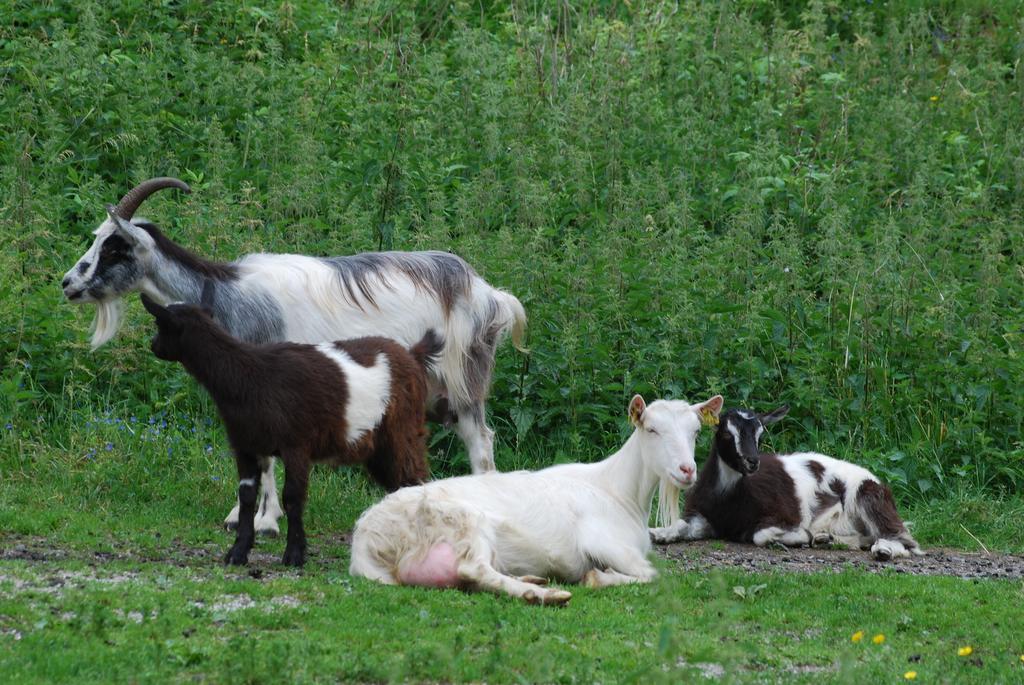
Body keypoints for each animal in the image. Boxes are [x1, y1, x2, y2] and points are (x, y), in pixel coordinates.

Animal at [61, 179, 528, 536]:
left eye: (115, 248)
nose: (67, 283)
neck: (228, 298)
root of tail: (489, 294)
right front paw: (239, 516)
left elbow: (269, 459)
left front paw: (266, 522)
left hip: (462, 380)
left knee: (480, 441)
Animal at [140, 282, 440, 565]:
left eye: (159, 324)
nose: (152, 345)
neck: (248, 376)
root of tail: (412, 355)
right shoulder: (245, 444)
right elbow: (246, 497)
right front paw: (238, 553)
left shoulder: (296, 443)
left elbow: (293, 497)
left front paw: (294, 555)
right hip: (378, 445)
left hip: (403, 429)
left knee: (415, 478)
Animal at [348, 393, 724, 602]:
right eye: (652, 429)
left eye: (696, 431)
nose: (686, 469)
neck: (619, 492)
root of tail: (366, 540)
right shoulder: (606, 543)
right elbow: (652, 574)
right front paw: (596, 578)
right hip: (464, 522)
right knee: (473, 569)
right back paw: (545, 594)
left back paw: (531, 579)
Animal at [651, 403, 925, 557]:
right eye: (727, 434)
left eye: (760, 435)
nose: (752, 462)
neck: (729, 500)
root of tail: (877, 482)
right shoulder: (704, 515)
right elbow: (681, 525)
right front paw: (659, 534)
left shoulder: (782, 516)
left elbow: (761, 535)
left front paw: (801, 537)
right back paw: (827, 540)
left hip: (867, 497)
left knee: (905, 540)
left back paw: (884, 550)